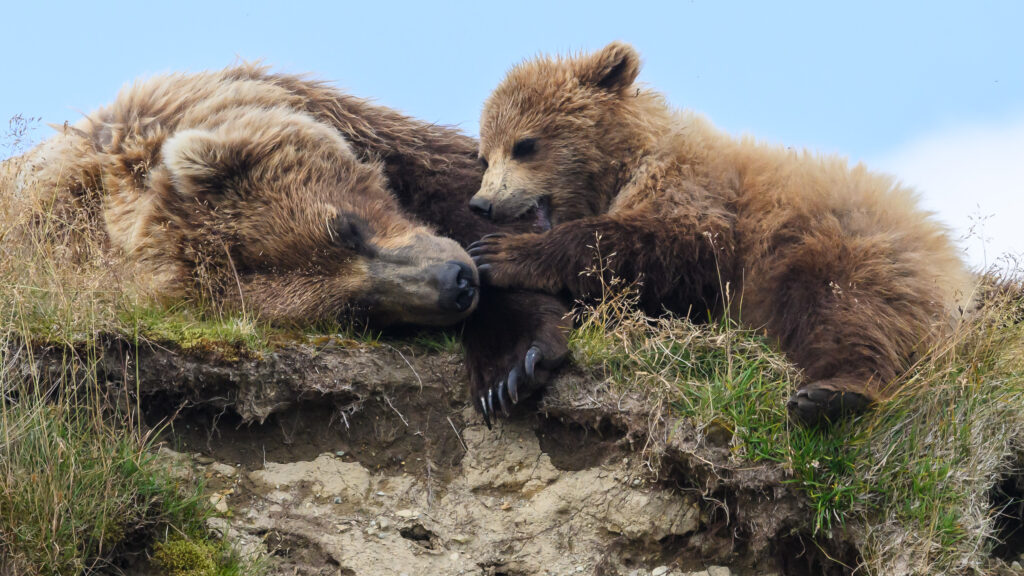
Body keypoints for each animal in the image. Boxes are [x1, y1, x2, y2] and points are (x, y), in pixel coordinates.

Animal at [467, 42, 973, 425]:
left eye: (525, 144)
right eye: (484, 155)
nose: (482, 204)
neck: (625, 163)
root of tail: (950, 262)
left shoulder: (701, 199)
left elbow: (661, 249)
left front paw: (502, 254)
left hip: (844, 251)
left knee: (849, 315)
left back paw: (832, 393)